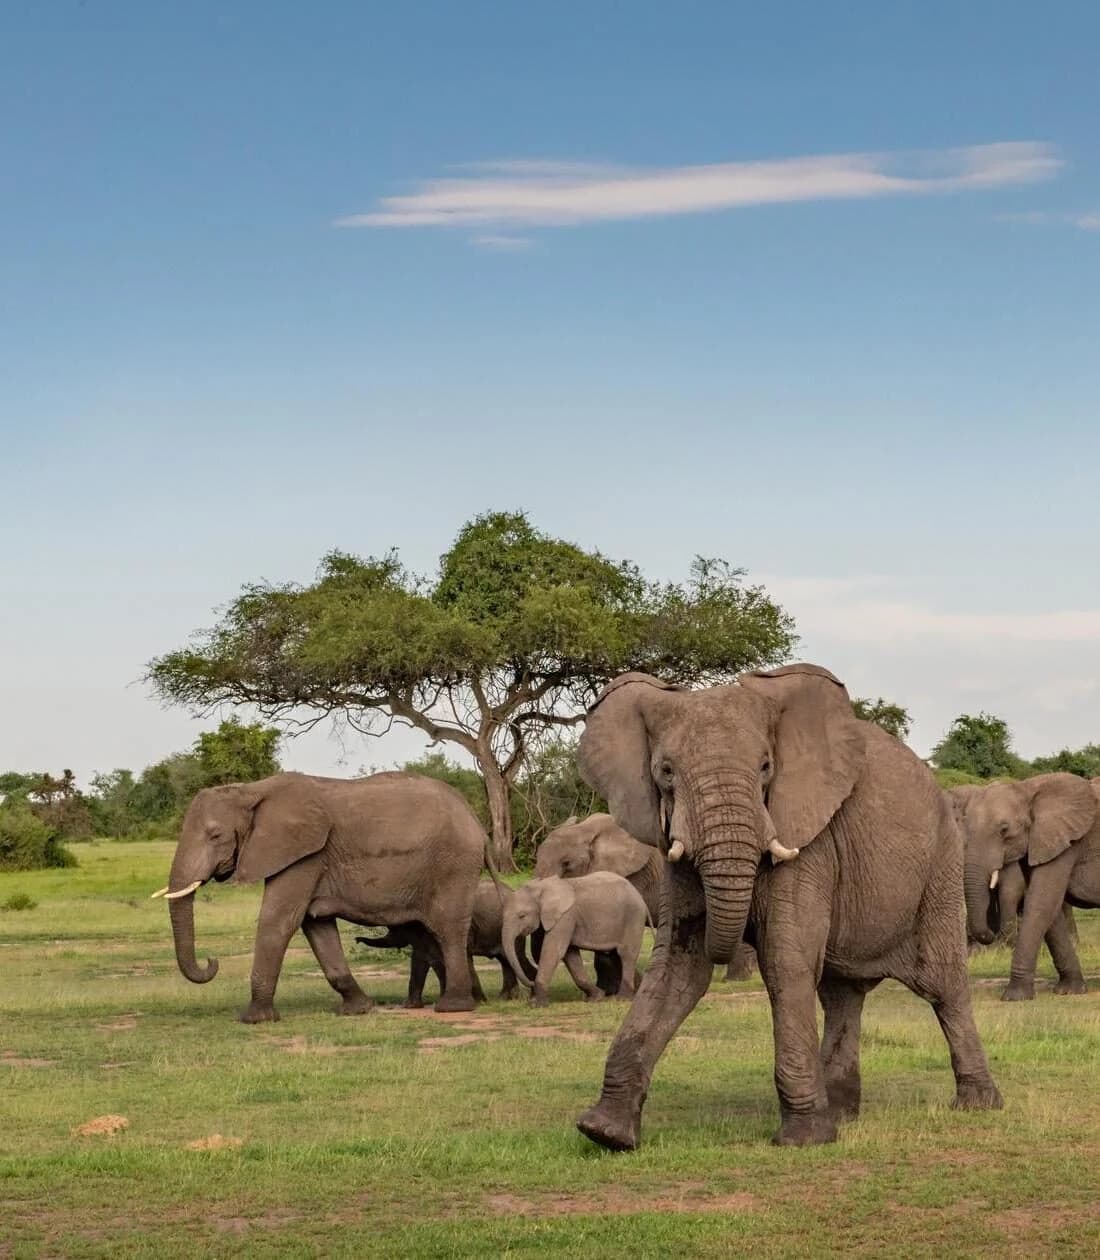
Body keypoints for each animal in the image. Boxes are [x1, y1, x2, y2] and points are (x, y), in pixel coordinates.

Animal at [151, 771, 490, 1021]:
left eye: (215, 835)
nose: (212, 961)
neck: (251, 791)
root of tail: (475, 820)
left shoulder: (305, 856)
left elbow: (278, 920)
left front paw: (254, 1019)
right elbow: (316, 925)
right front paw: (357, 1009)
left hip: (454, 866)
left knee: (447, 929)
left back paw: (453, 1007)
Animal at [355, 880, 537, 1005]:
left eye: (395, 928)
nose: (357, 940)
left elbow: (447, 960)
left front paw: (475, 1002)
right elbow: (420, 961)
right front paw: (410, 1006)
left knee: (516, 958)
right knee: (506, 960)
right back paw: (507, 998)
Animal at [501, 872, 650, 1008]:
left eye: (522, 916)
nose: (531, 983)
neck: (542, 887)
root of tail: (639, 896)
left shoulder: (565, 916)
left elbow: (554, 951)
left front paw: (536, 1005)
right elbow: (570, 956)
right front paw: (596, 997)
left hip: (633, 918)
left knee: (626, 955)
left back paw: (622, 998)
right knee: (615, 956)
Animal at [573, 663, 1002, 1152]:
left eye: (766, 768)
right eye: (665, 771)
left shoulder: (809, 839)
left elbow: (785, 962)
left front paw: (804, 1139)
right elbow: (677, 968)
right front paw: (605, 1133)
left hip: (942, 863)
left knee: (942, 984)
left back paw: (977, 1105)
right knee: (841, 995)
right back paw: (842, 1113)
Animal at [957, 773, 1099, 1001]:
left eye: (1004, 830)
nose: (989, 935)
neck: (1027, 789)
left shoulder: (1067, 843)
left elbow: (1041, 903)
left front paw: (1014, 996)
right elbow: (1050, 912)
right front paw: (1069, 991)